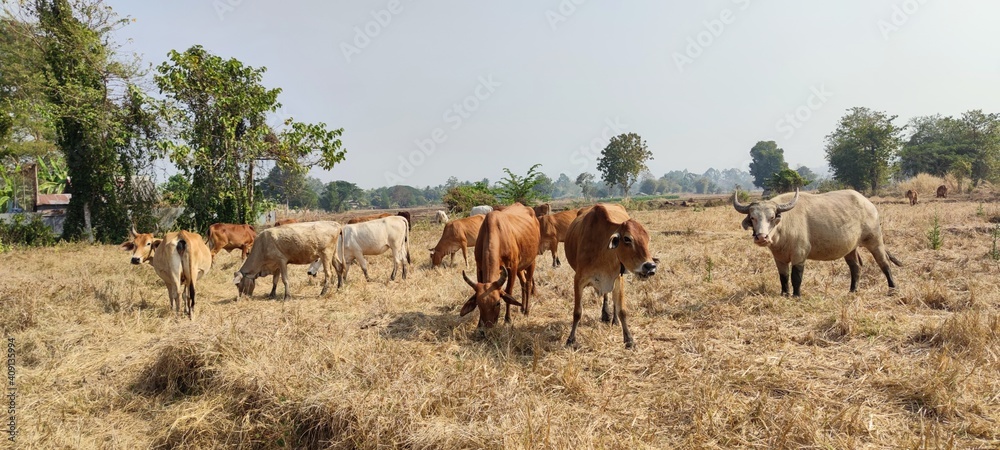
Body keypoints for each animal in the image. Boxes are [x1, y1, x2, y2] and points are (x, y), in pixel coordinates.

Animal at [564, 204, 658, 348]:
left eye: (648, 239)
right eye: (627, 239)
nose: (650, 266)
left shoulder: (618, 278)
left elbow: (622, 310)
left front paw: (629, 339)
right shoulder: (578, 279)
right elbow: (577, 312)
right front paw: (570, 339)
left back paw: (613, 319)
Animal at [733, 188, 902, 298]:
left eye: (772, 217)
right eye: (753, 217)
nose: (762, 237)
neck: (783, 228)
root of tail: (868, 204)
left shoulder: (799, 255)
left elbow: (796, 276)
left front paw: (796, 295)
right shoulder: (779, 258)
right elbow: (783, 277)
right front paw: (784, 294)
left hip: (875, 241)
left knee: (884, 263)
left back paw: (892, 289)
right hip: (850, 249)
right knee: (856, 267)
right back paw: (852, 291)